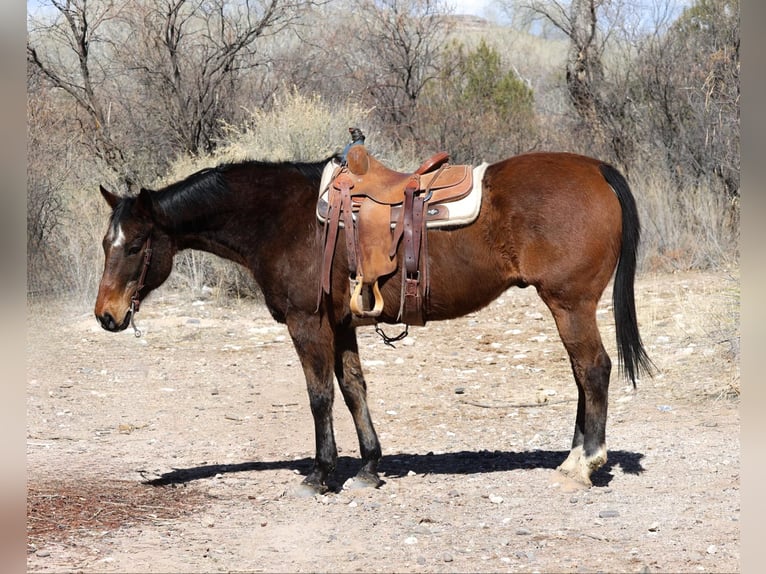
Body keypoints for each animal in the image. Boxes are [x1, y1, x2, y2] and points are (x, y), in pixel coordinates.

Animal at [94, 151, 653, 493]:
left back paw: (585, 463)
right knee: (582, 375)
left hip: (570, 304)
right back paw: (574, 455)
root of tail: (597, 169)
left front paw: (321, 474)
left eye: (137, 245)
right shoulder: (342, 325)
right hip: (569, 307)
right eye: (107, 242)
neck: (283, 218)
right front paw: (368, 466)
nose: (107, 315)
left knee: (593, 369)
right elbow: (353, 389)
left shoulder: (308, 324)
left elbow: (319, 394)